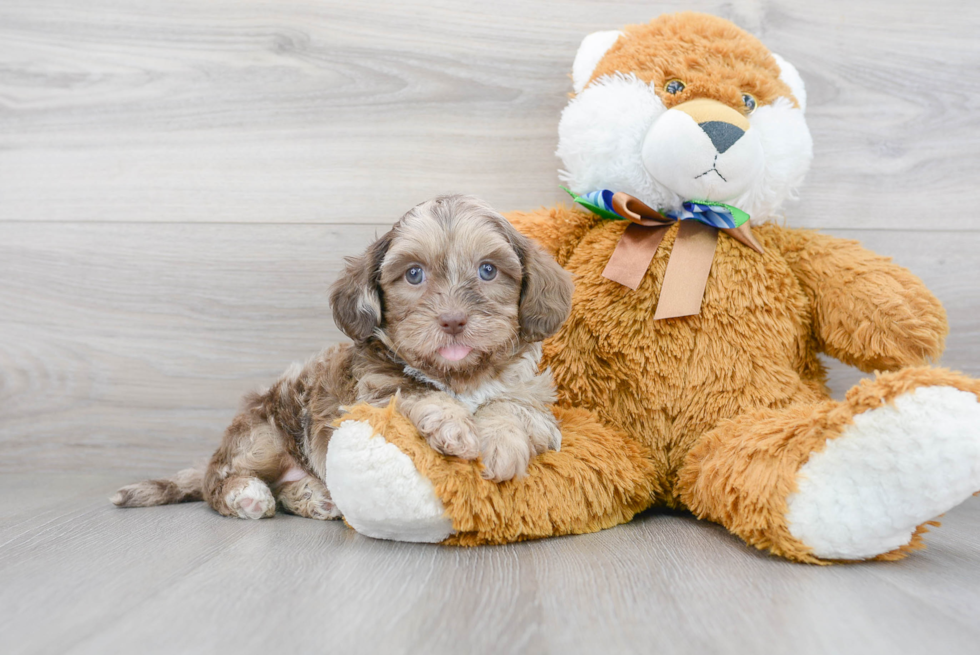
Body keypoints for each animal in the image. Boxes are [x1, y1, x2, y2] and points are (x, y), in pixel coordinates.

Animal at [113, 195, 576, 524]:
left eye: (488, 270)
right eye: (413, 274)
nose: (453, 320)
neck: (459, 375)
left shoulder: (534, 399)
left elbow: (512, 407)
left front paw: (500, 443)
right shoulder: (369, 394)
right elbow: (414, 391)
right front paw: (454, 425)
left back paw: (315, 497)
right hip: (262, 433)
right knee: (217, 481)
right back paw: (248, 495)